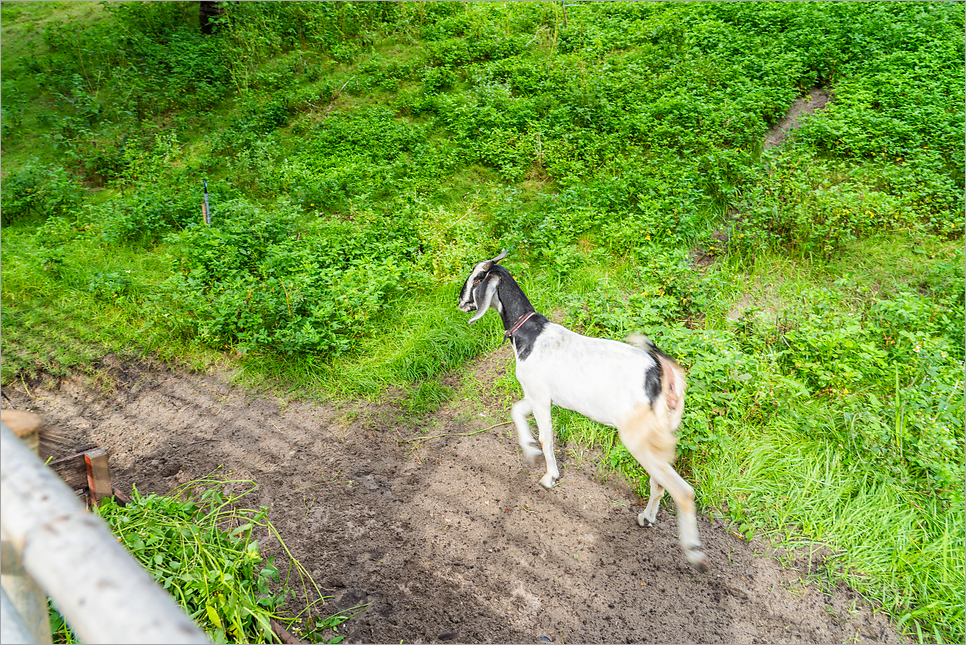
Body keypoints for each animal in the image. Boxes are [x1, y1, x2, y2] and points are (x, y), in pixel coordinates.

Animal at [458, 252, 708, 568]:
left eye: (477, 277)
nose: (460, 301)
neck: (531, 334)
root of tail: (663, 376)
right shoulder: (537, 394)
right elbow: (516, 411)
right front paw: (529, 449)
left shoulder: (540, 396)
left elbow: (547, 438)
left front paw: (549, 477)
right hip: (657, 435)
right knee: (661, 482)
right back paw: (646, 518)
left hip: (637, 436)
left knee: (683, 491)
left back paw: (693, 551)